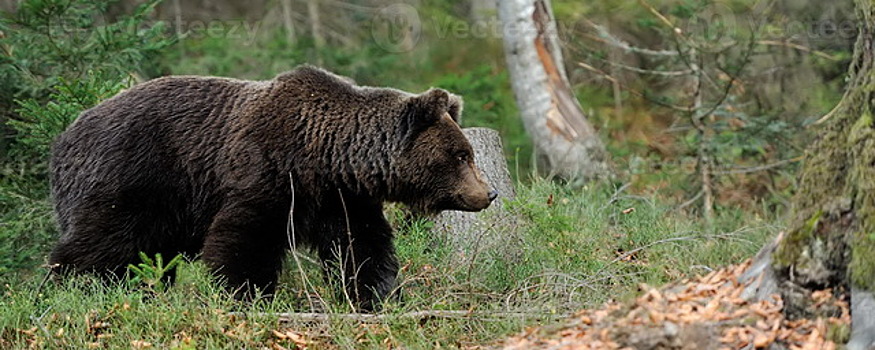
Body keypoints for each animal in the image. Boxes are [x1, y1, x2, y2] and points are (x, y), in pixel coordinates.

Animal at [49, 65, 500, 308]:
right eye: (461, 155)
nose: (489, 193)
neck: (326, 158)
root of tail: (64, 136)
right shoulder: (267, 174)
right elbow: (243, 239)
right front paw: (245, 295)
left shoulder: (342, 199)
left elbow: (361, 248)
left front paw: (377, 295)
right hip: (135, 177)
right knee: (103, 242)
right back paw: (70, 288)